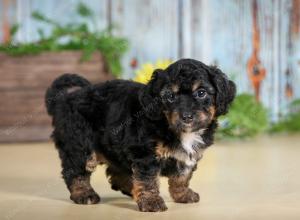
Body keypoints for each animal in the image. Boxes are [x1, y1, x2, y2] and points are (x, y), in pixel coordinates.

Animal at [45, 58, 236, 211]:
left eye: (201, 93)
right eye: (169, 96)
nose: (187, 116)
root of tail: (63, 99)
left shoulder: (187, 156)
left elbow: (182, 176)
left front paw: (182, 194)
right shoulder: (145, 153)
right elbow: (148, 178)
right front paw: (151, 201)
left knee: (117, 171)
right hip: (78, 143)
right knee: (75, 171)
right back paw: (84, 194)